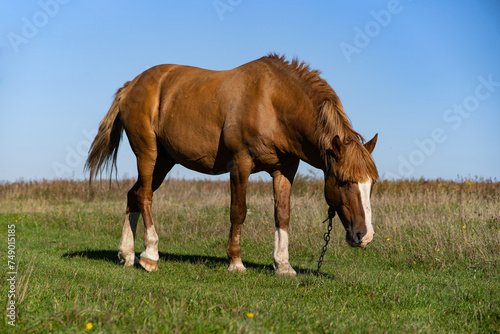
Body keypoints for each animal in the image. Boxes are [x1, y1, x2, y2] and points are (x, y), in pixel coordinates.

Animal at [87, 53, 378, 276]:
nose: (364, 236)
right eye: (343, 181)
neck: (272, 102)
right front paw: (235, 262)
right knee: (145, 196)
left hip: (164, 161)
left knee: (133, 194)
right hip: (148, 153)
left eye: (370, 185)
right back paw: (150, 255)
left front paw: (283, 265)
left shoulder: (285, 170)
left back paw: (127, 255)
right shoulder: (240, 165)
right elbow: (238, 211)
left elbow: (282, 214)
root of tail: (131, 85)